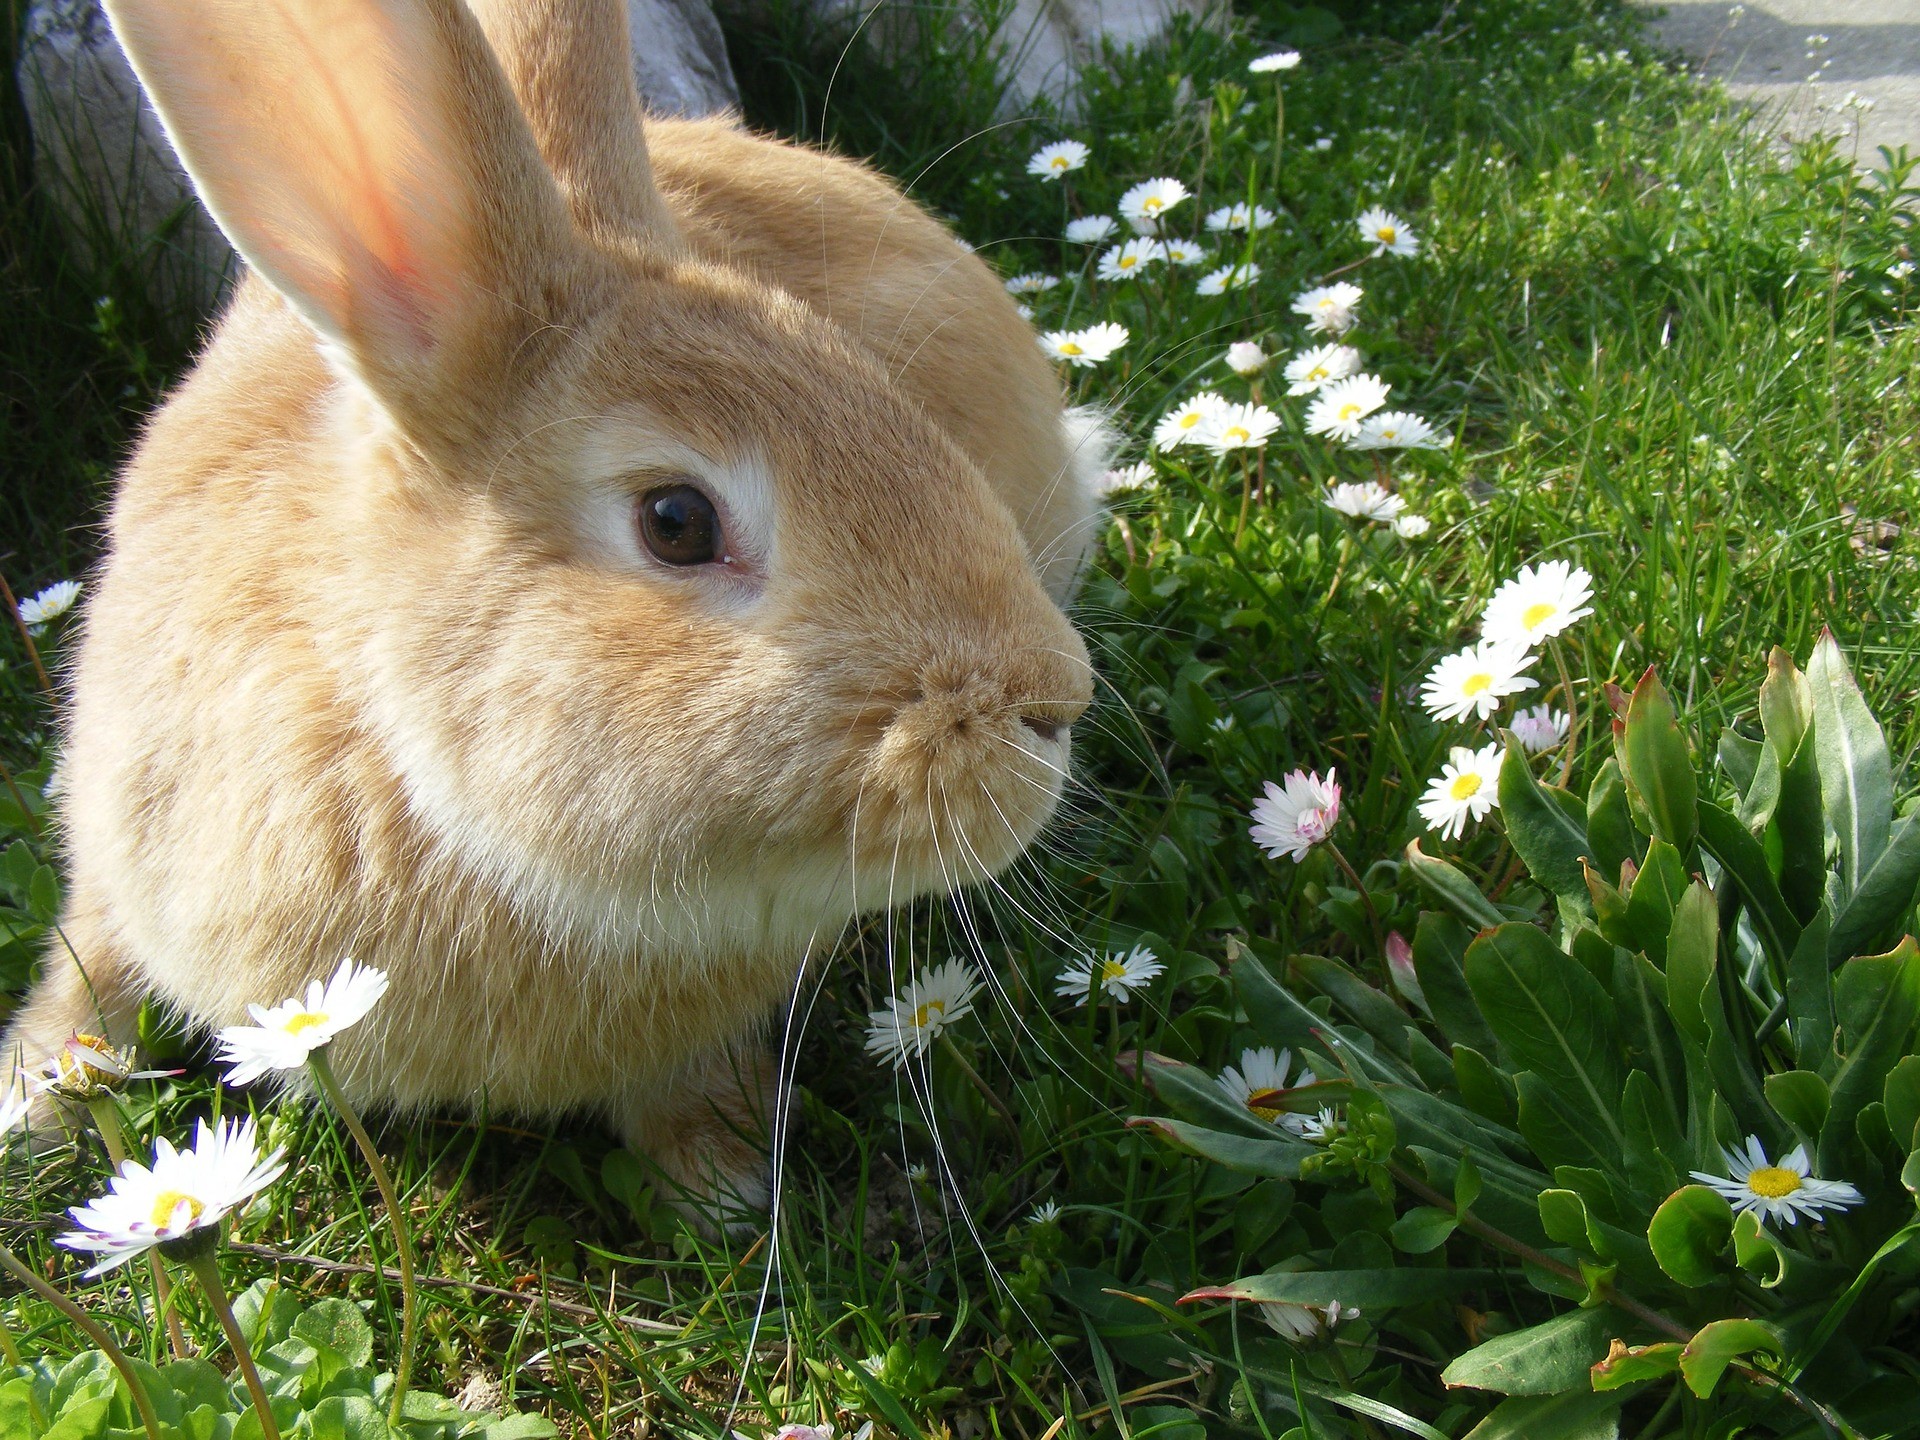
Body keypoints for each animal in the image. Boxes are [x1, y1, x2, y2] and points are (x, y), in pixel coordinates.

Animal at [0, 0, 1113, 1205]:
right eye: (676, 521)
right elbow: (91, 969)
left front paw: (719, 1182)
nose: (1058, 702)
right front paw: (34, 1105)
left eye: (896, 402)